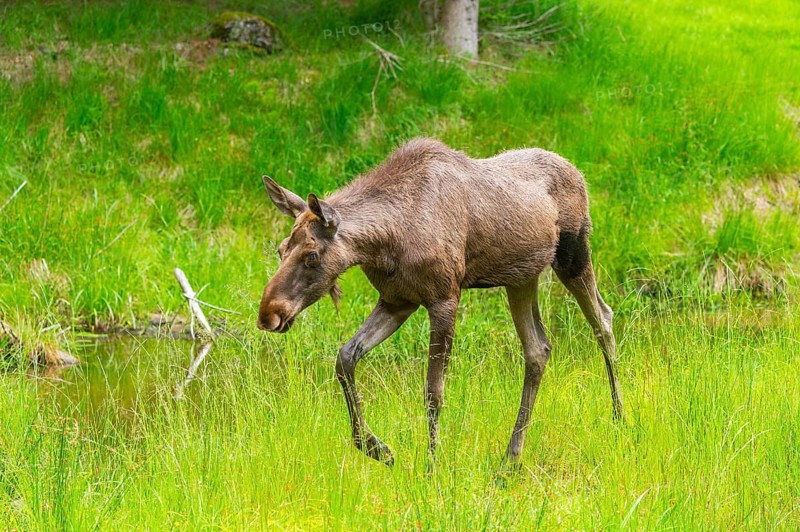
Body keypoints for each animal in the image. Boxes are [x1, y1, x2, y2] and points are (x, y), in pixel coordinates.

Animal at [258, 138, 623, 466]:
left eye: (312, 255)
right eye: (280, 249)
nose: (268, 314)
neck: (383, 244)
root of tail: (578, 173)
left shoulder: (444, 298)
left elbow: (433, 392)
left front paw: (432, 467)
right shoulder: (397, 301)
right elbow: (345, 358)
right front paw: (378, 448)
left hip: (573, 255)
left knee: (603, 320)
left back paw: (619, 418)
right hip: (521, 278)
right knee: (538, 349)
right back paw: (510, 459)